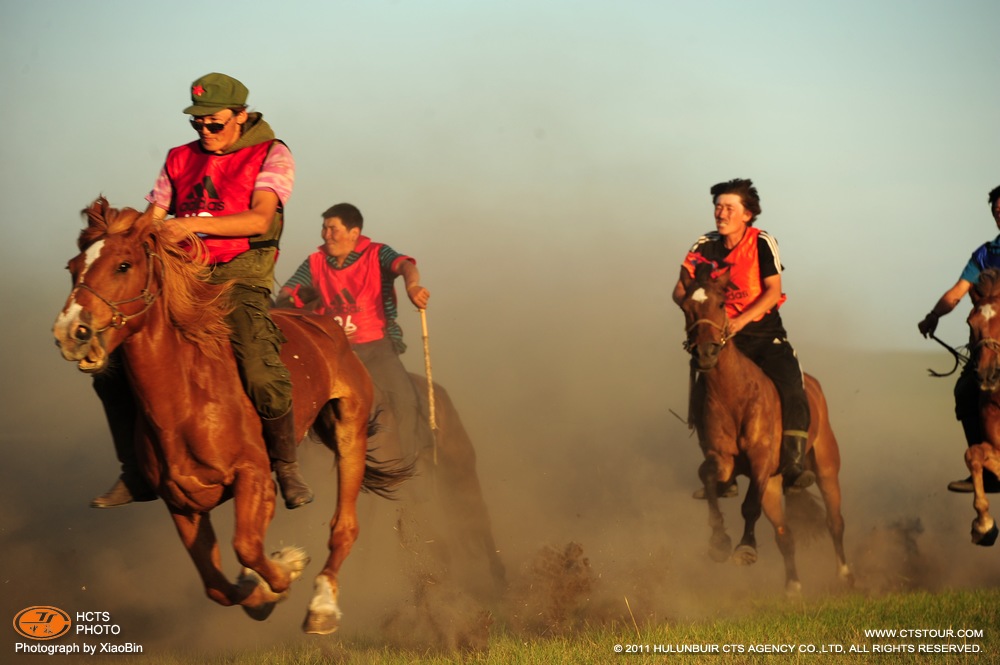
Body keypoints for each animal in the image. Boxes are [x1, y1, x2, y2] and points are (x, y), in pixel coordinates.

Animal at [49, 197, 410, 632]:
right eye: (73, 267)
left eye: (123, 265)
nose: (72, 332)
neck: (186, 401)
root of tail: (325, 324)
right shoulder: (182, 504)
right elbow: (217, 586)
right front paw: (261, 590)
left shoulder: (254, 478)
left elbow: (248, 547)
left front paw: (286, 570)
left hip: (350, 428)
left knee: (344, 526)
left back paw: (322, 605)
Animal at [680, 260, 852, 592]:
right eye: (686, 308)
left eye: (720, 303)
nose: (705, 353)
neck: (734, 394)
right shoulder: (722, 460)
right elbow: (708, 478)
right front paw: (719, 542)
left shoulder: (761, 462)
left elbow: (749, 507)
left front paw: (745, 548)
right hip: (773, 485)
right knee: (785, 534)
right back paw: (793, 587)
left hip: (825, 468)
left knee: (835, 522)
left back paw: (845, 575)